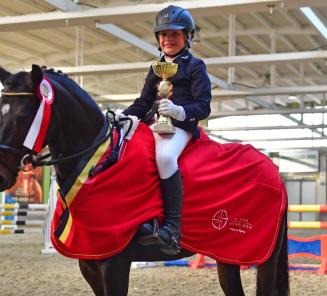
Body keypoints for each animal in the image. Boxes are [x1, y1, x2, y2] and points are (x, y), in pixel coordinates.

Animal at [0, 65, 290, 296]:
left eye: (23, 118)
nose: (2, 176)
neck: (99, 162)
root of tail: (275, 171)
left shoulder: (114, 263)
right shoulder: (89, 262)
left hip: (262, 257)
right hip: (227, 255)